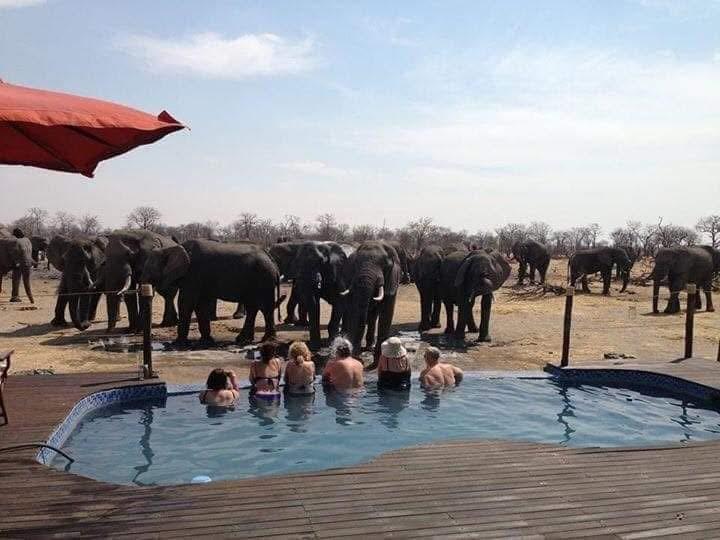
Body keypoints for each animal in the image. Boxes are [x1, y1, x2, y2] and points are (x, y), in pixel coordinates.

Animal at [141, 239, 284, 346]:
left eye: (150, 270)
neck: (170, 248)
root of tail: (271, 259)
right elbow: (200, 305)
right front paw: (206, 341)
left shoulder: (193, 275)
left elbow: (186, 303)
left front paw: (178, 344)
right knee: (253, 307)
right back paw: (243, 339)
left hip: (264, 279)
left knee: (265, 307)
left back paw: (267, 340)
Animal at [341, 240, 401, 368]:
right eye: (355, 264)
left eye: (385, 265)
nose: (359, 359)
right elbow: (355, 310)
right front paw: (356, 359)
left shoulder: (392, 280)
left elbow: (386, 314)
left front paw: (377, 362)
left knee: (373, 316)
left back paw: (370, 347)